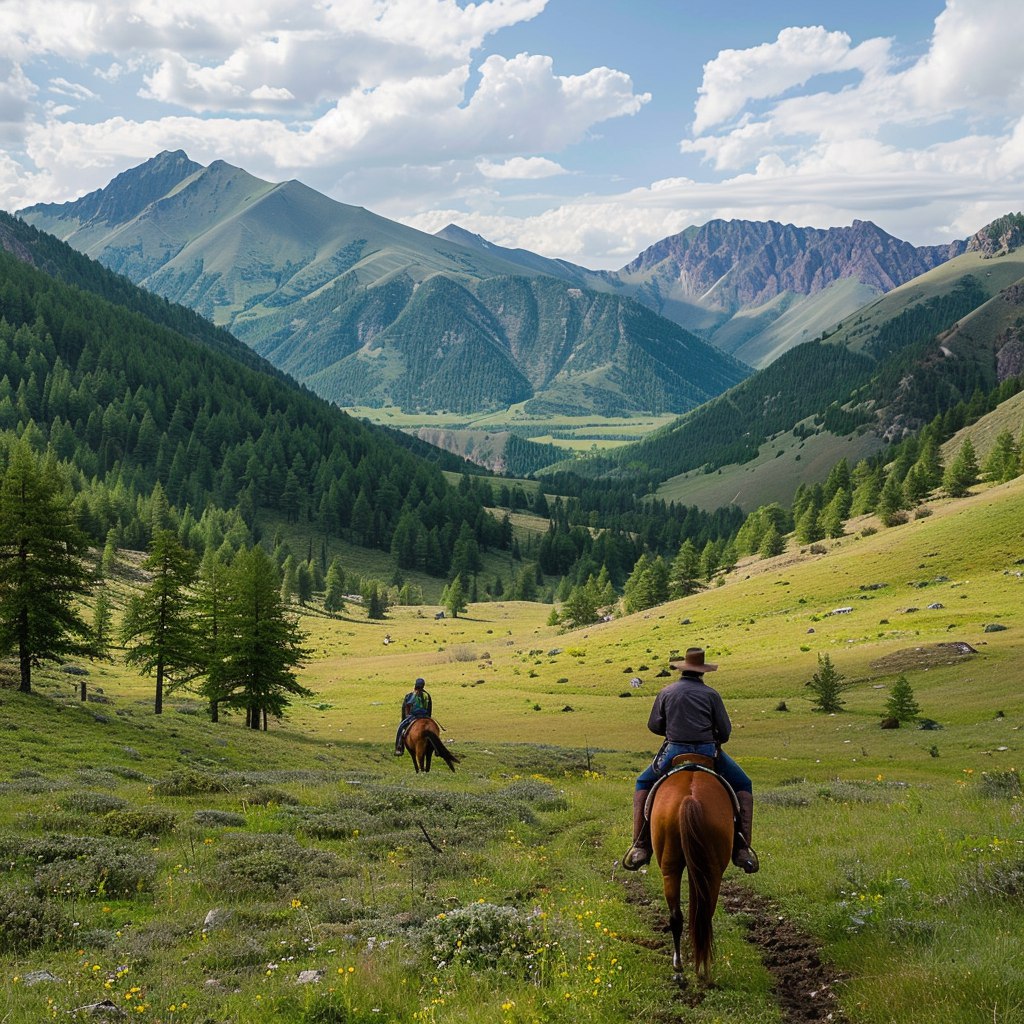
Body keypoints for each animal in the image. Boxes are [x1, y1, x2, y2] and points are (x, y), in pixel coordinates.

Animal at [647, 757, 737, 978]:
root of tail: (690, 797)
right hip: (710, 871)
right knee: (701, 916)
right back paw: (698, 967)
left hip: (672, 867)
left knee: (681, 916)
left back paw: (681, 964)